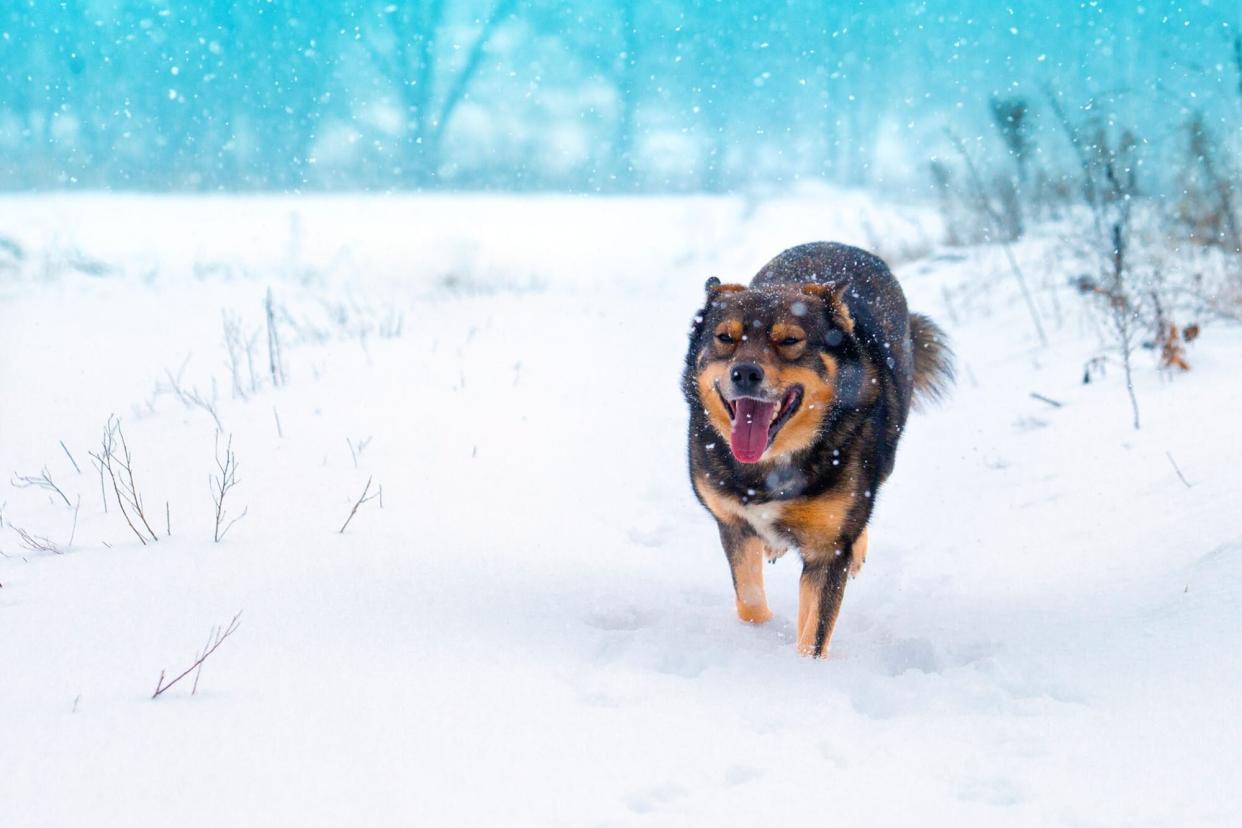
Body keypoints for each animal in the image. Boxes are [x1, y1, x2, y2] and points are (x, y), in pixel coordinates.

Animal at [685, 240, 953, 660]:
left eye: (789, 340)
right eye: (725, 338)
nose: (744, 373)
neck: (771, 466)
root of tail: (841, 246)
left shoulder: (828, 550)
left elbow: (814, 629)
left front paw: (808, 670)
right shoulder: (732, 523)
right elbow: (749, 600)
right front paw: (756, 635)